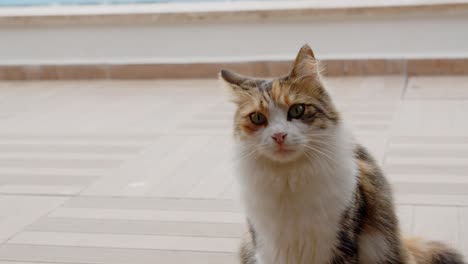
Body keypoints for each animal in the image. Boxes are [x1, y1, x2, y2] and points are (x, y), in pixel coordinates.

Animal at [219, 44, 464, 264]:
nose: (279, 136)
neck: (289, 179)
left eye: (297, 110)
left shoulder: (341, 241)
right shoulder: (266, 246)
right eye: (257, 118)